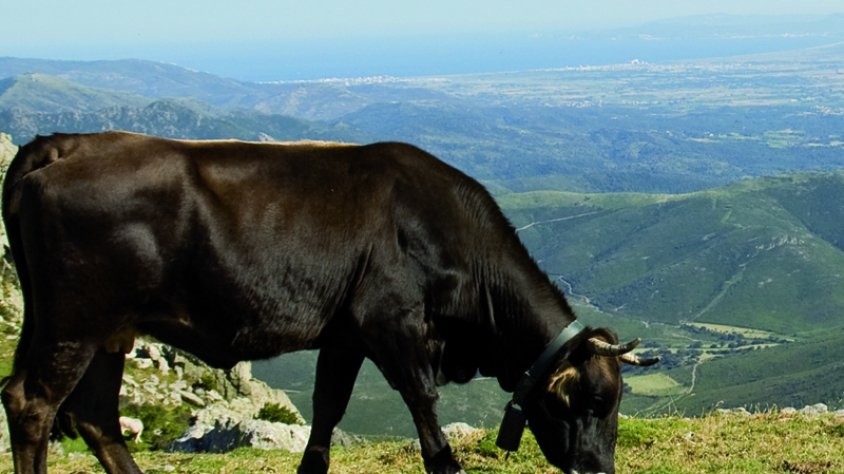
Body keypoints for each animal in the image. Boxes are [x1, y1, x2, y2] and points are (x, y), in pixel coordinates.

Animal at [1, 131, 656, 474]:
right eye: (590, 399)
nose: (600, 470)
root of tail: (67, 143)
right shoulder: (390, 324)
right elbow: (423, 404)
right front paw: (447, 463)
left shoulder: (343, 336)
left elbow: (326, 411)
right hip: (76, 320)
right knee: (33, 402)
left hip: (109, 330)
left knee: (94, 414)